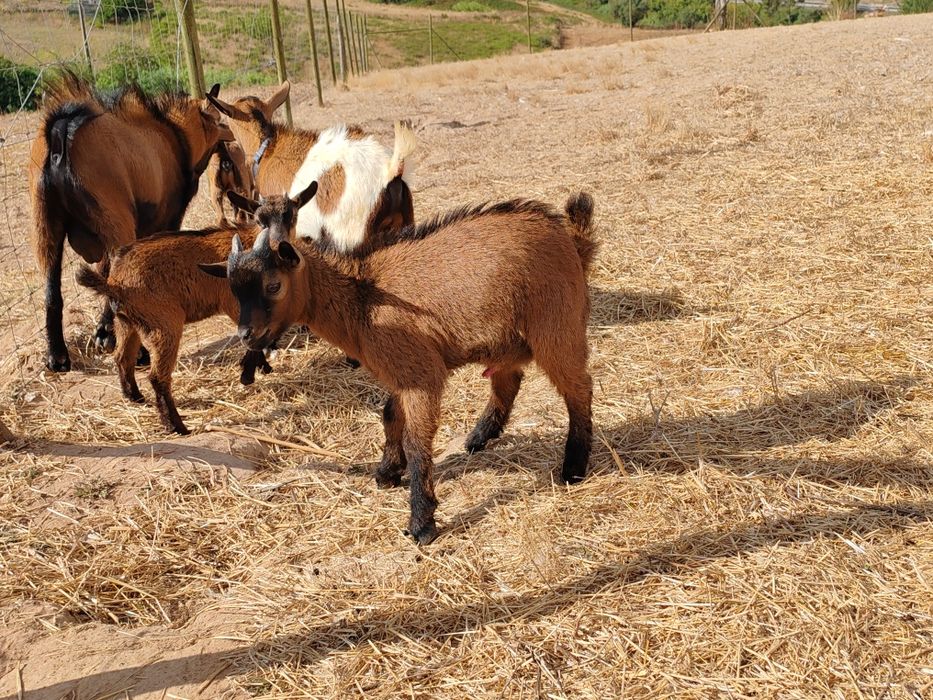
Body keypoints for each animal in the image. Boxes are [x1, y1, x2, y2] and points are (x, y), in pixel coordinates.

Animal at [29, 73, 233, 372]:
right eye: (217, 120)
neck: (174, 136)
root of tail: (61, 131)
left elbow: (101, 274)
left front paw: (103, 332)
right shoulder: (162, 222)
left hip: (47, 227)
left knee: (51, 293)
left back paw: (57, 357)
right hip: (115, 224)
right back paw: (140, 355)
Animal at [75, 184, 318, 435]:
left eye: (292, 215)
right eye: (260, 220)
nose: (278, 243)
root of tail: (115, 283)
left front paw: (263, 368)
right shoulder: (235, 304)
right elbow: (253, 338)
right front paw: (251, 374)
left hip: (127, 322)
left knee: (123, 357)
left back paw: (135, 398)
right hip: (164, 324)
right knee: (157, 377)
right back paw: (177, 426)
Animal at [202, 192, 598, 544]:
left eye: (274, 285)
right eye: (234, 290)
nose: (247, 336)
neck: (363, 298)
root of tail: (572, 239)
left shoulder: (421, 375)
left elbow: (417, 442)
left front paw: (421, 522)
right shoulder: (398, 370)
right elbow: (390, 415)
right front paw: (387, 472)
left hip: (556, 324)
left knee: (578, 387)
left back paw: (573, 468)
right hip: (507, 339)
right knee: (508, 380)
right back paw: (479, 437)